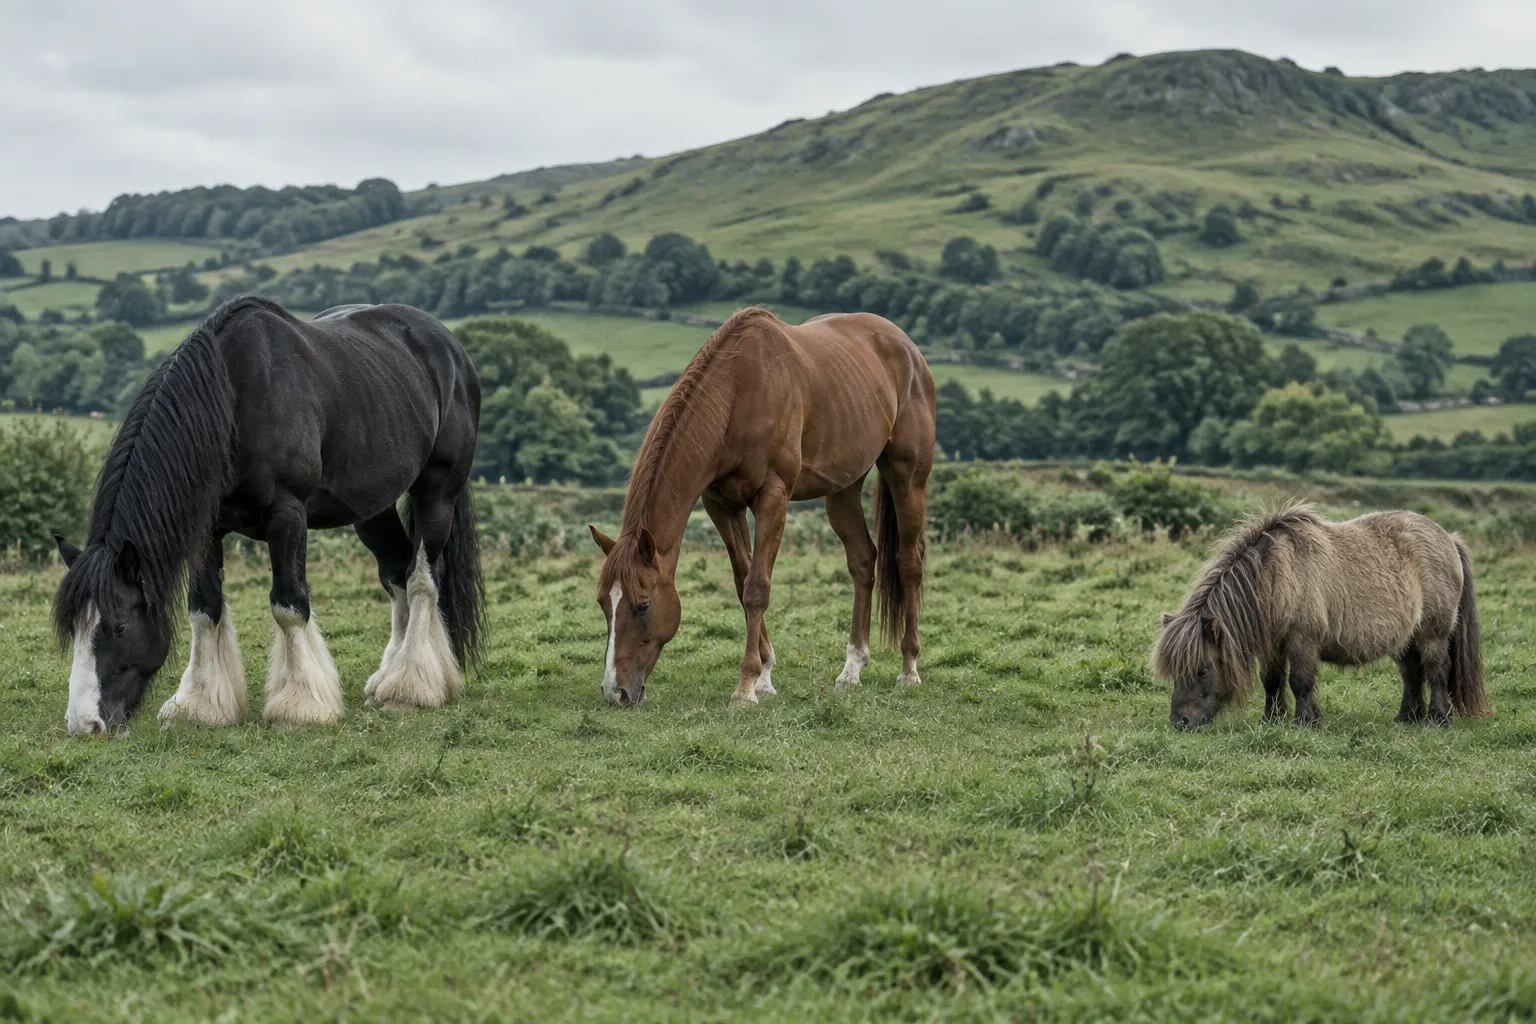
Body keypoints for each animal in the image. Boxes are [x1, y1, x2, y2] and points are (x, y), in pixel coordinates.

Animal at [53, 296, 484, 735]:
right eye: (73, 628)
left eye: (119, 625)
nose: (85, 723)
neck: (233, 400)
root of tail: (449, 346)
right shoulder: (207, 528)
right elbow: (204, 609)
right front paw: (200, 704)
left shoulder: (287, 516)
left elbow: (288, 606)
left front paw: (300, 706)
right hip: (371, 510)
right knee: (396, 574)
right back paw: (388, 679)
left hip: (437, 495)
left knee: (421, 581)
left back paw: (410, 686)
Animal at [587, 306, 935, 707]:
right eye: (603, 602)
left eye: (643, 604)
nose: (615, 691)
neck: (737, 395)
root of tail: (907, 348)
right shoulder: (721, 505)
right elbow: (743, 582)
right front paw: (764, 677)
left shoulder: (773, 495)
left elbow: (757, 587)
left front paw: (745, 686)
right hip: (844, 489)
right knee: (863, 561)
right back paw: (852, 669)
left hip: (907, 477)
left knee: (908, 563)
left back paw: (909, 668)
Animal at [1153, 503, 1487, 730]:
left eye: (1202, 670)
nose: (1180, 722)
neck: (1275, 577)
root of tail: (1448, 537)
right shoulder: (1273, 646)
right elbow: (1272, 681)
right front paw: (1272, 720)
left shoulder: (1303, 640)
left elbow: (1300, 681)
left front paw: (1304, 722)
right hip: (1405, 639)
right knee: (1412, 674)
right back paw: (1406, 718)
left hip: (1433, 633)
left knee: (1437, 670)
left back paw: (1437, 719)